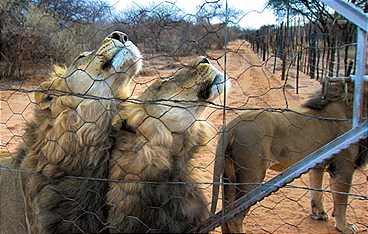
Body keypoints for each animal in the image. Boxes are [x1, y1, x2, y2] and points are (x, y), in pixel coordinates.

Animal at [211, 81, 366, 234]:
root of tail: (232, 124)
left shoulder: (318, 164)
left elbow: (317, 189)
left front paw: (319, 214)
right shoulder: (343, 167)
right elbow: (341, 200)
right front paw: (345, 227)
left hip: (229, 174)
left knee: (226, 215)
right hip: (251, 175)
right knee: (234, 218)